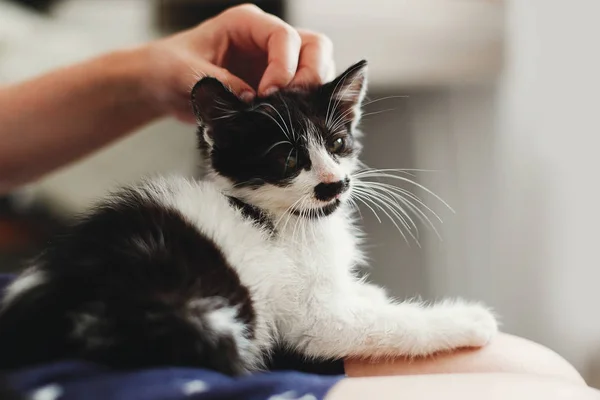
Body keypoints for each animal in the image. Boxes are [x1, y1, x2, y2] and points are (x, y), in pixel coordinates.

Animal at [0, 60, 496, 376]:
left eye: (337, 144)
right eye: (288, 158)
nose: (333, 184)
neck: (290, 221)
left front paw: (368, 291)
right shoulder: (313, 321)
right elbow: (377, 326)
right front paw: (466, 320)